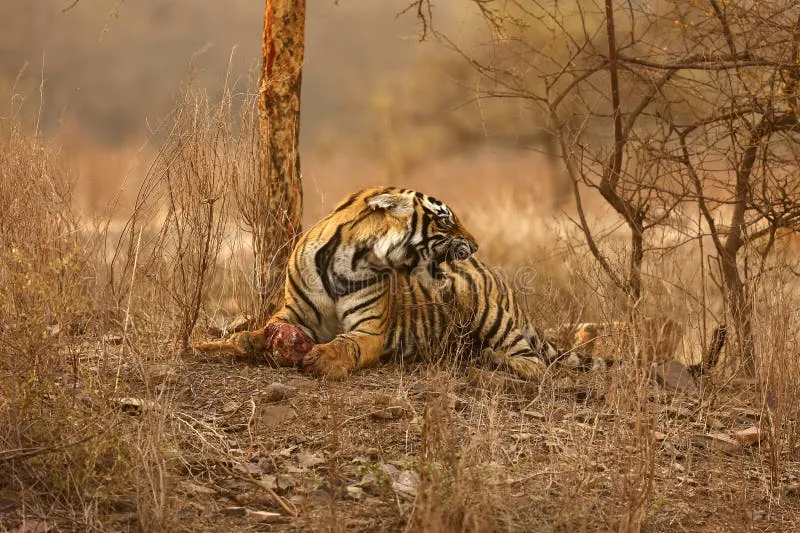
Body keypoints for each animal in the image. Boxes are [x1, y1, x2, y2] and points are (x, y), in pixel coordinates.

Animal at [194, 187, 612, 378]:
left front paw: (322, 358)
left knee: (533, 363)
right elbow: (260, 331)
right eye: (445, 219)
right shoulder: (294, 312)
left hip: (487, 311)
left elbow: (346, 344)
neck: (346, 255)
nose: (475, 244)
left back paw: (489, 359)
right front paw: (227, 342)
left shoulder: (369, 329)